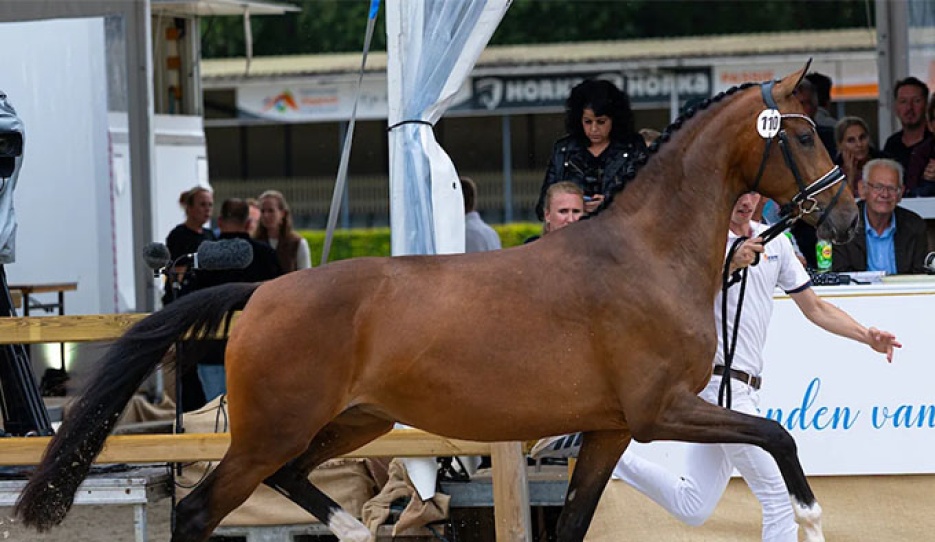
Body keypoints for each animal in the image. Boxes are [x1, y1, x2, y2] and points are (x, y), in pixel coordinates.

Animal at [16, 65, 856, 542]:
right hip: (273, 428)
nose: (844, 219)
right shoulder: (661, 410)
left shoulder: (611, 429)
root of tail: (265, 288)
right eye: (802, 136)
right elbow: (775, 434)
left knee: (291, 481)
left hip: (352, 421)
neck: (645, 255)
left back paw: (353, 530)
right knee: (199, 512)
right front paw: (811, 513)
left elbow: (574, 524)